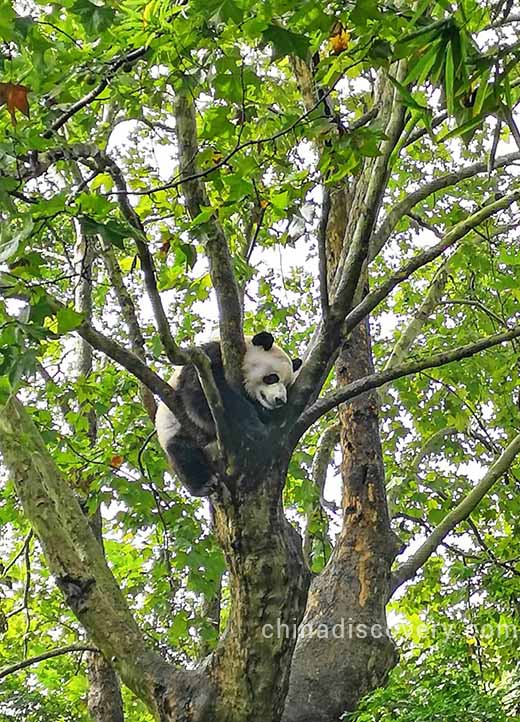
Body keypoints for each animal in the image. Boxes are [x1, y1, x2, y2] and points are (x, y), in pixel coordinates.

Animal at [154, 330, 300, 496]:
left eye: (287, 385)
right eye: (272, 378)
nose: (280, 400)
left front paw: (264, 415)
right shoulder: (204, 360)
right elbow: (201, 396)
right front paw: (254, 427)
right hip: (174, 429)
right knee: (182, 453)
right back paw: (204, 484)